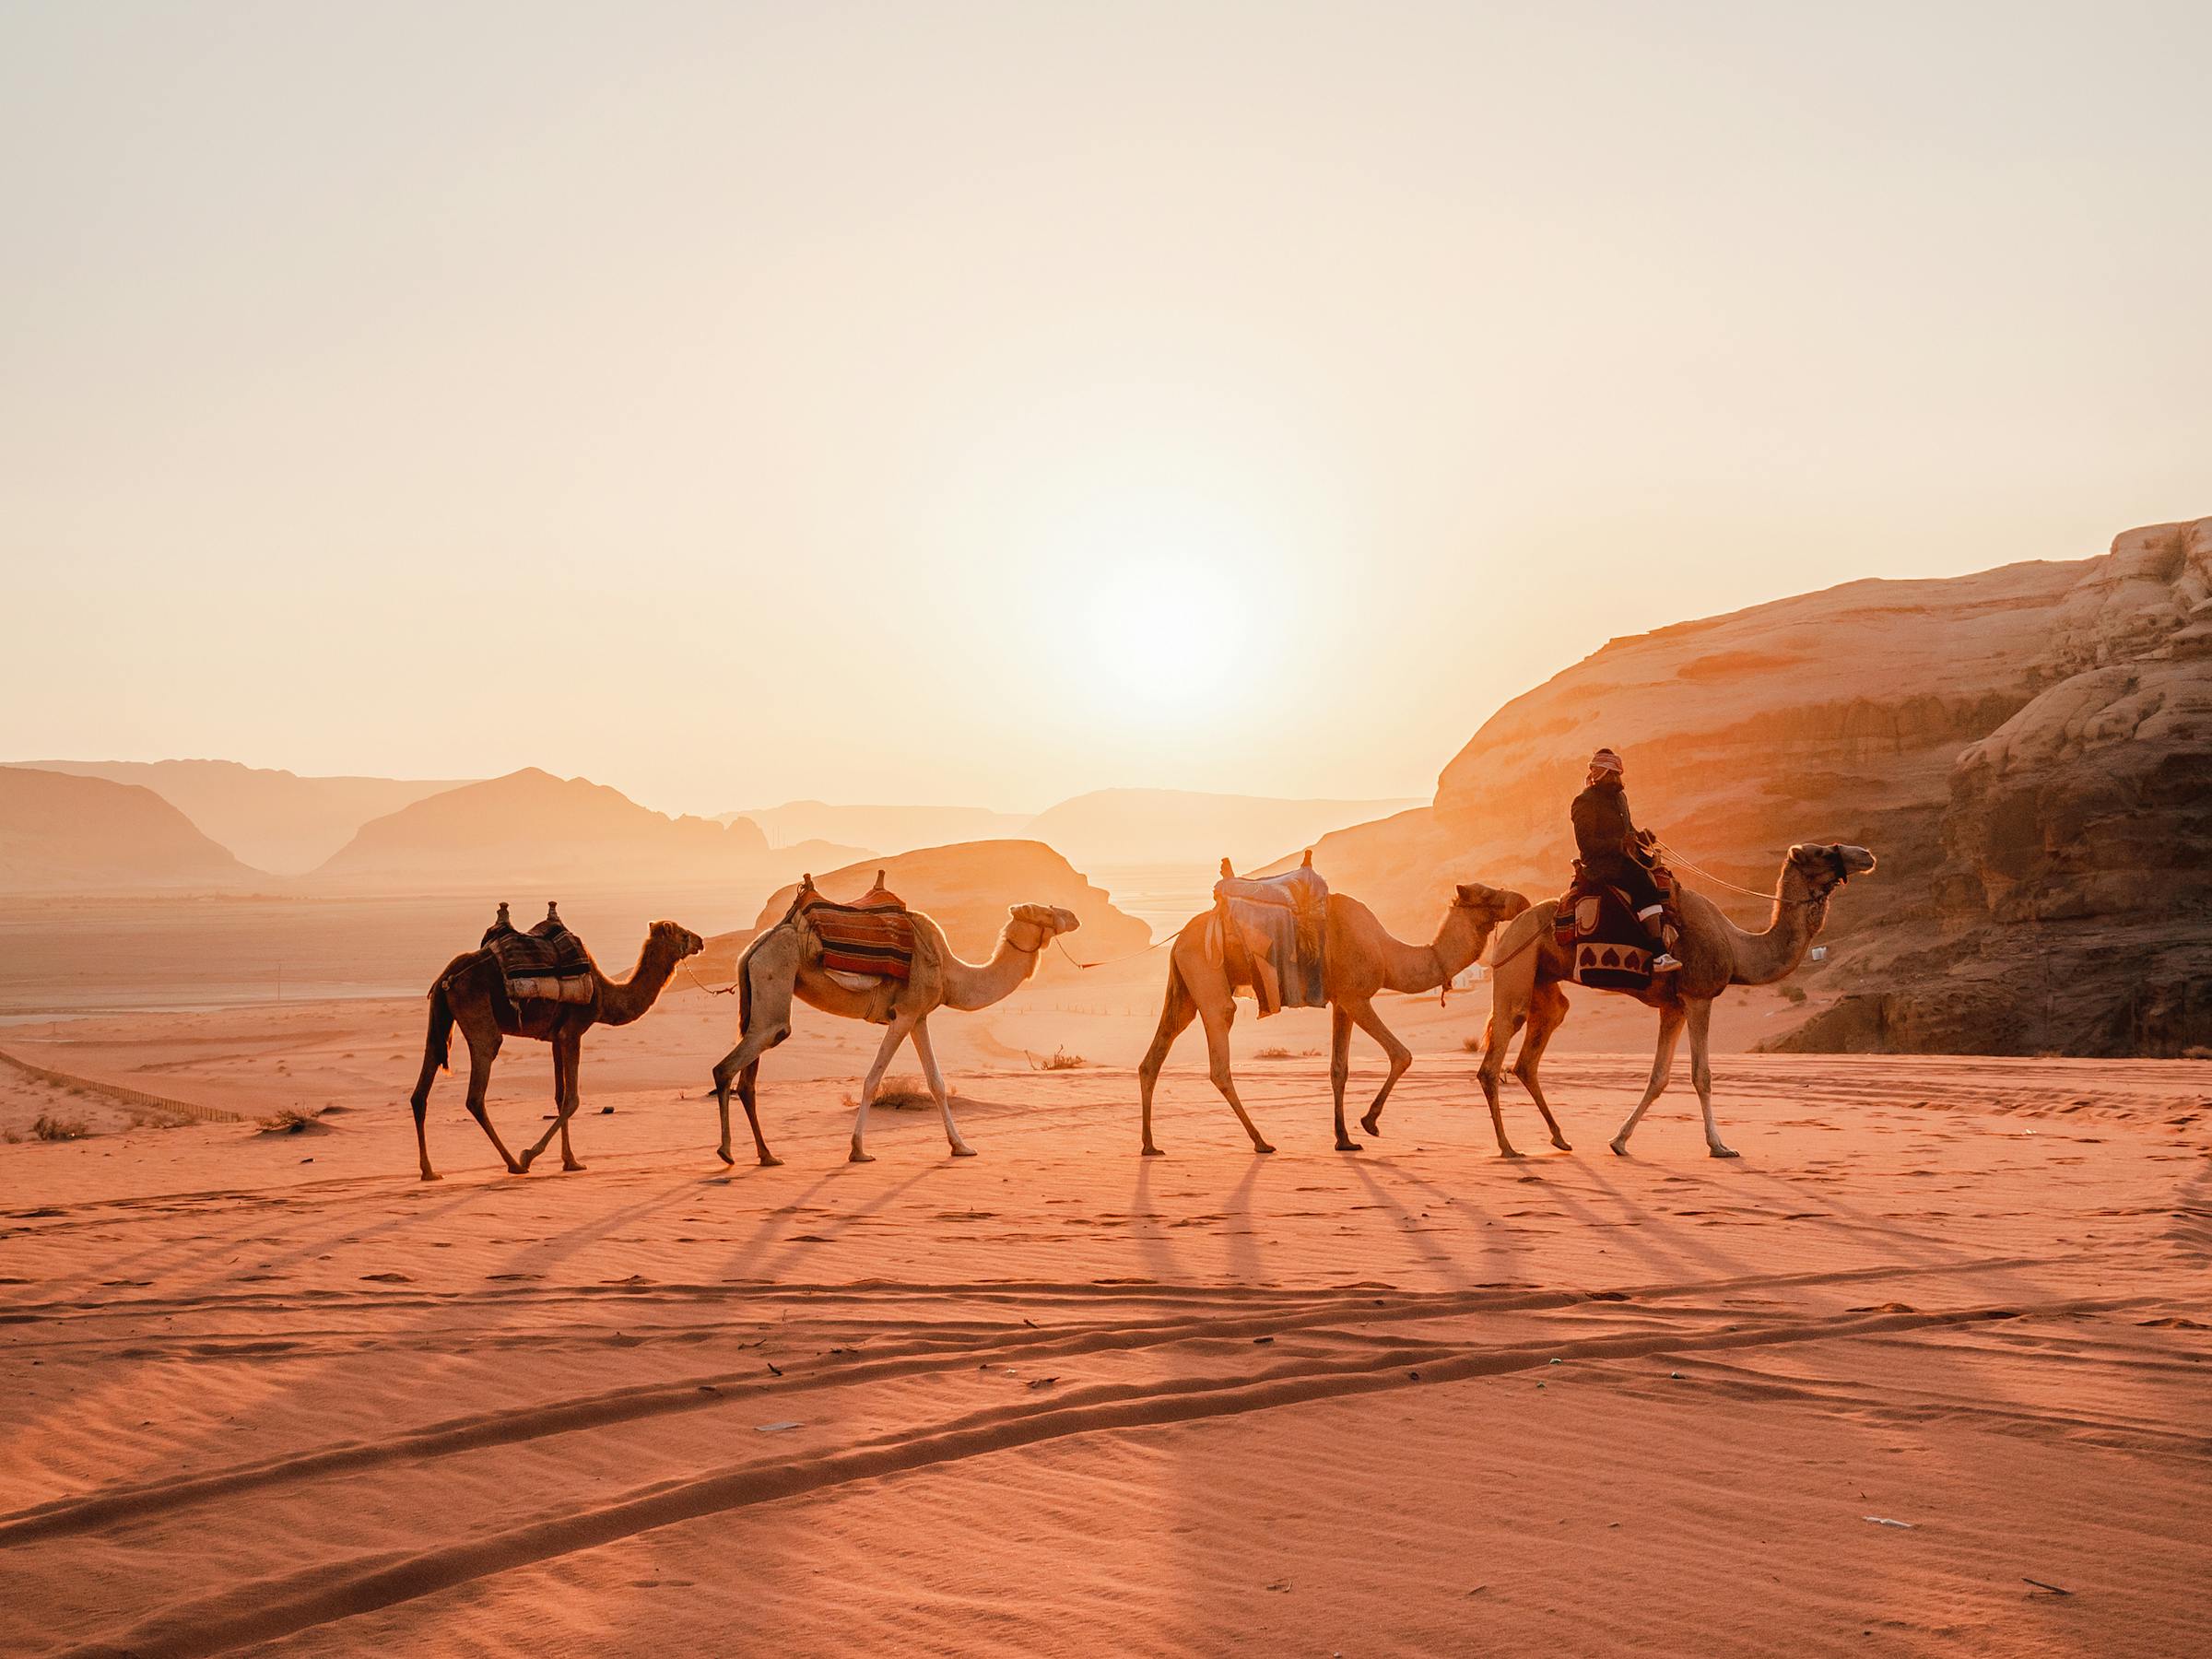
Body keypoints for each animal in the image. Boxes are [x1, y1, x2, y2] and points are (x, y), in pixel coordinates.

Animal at [409, 918, 704, 1180]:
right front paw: (530, 1154)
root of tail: (448, 977)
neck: (604, 995)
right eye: (683, 934)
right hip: (480, 1019)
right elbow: (572, 1099)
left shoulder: (555, 1038)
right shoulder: (573, 1031)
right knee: (475, 1095)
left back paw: (429, 1171)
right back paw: (514, 1163)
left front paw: (571, 1161)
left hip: (440, 1018)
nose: (700, 941)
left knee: (421, 1089)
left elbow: (559, 1096)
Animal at [708, 897, 1082, 1166]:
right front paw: (858, 1150)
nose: (1074, 916)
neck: (949, 973)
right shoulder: (903, 1015)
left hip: (757, 999)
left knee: (749, 1077)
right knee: (733, 1063)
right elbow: (873, 1079)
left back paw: (767, 1155)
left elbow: (937, 1082)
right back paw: (727, 1151)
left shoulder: (919, 1017)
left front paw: (960, 1146)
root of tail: (753, 948)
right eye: (1043, 910)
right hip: (775, 976)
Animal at [1138, 881, 1529, 1156]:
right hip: (1207, 975)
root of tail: (1178, 941)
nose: (1523, 901)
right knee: (1219, 1056)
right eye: (1487, 893)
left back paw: (1150, 1145)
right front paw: (1369, 1123)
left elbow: (1339, 1069)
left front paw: (1344, 1139)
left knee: (1154, 1056)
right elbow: (1401, 1054)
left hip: (1185, 989)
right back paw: (1261, 1141)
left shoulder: (1341, 1002)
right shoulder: (1357, 997)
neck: (1388, 955)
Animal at [1475, 842, 1876, 1158]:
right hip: (1515, 967)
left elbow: (1659, 1077)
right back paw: (1507, 1147)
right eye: (1822, 851)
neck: (1738, 949)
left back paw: (1559, 1138)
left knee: (1530, 1056)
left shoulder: (1673, 1006)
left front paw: (1619, 1141)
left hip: (1544, 983)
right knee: (1495, 1056)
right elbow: (1702, 1075)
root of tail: (1508, 930)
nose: (1866, 855)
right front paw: (1719, 1146)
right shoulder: (1698, 996)